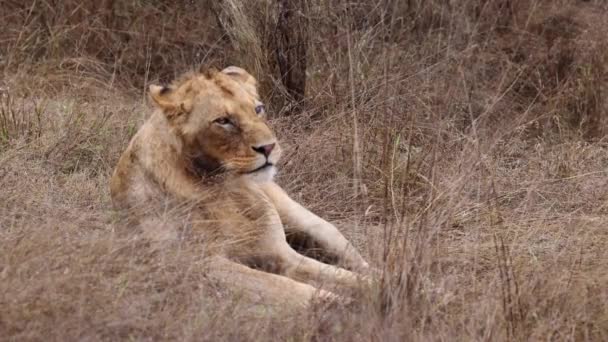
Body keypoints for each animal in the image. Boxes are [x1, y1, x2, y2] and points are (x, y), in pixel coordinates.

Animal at [111, 65, 372, 306]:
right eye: (223, 121)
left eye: (258, 109)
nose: (269, 147)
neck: (223, 186)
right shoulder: (194, 263)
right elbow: (278, 285)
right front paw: (339, 306)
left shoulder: (281, 254)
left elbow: (342, 277)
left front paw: (378, 290)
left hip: (313, 224)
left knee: (357, 260)